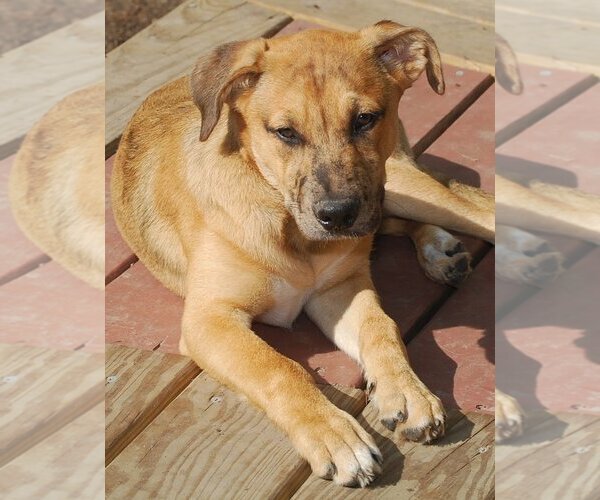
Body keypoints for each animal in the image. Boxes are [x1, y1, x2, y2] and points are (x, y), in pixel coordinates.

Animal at [112, 21, 496, 486]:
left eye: (365, 119)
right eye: (285, 133)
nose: (338, 216)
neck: (289, 226)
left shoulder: (340, 288)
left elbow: (381, 328)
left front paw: (407, 391)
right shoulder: (210, 319)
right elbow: (278, 368)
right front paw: (334, 435)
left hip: (399, 183)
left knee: (475, 208)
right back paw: (441, 250)